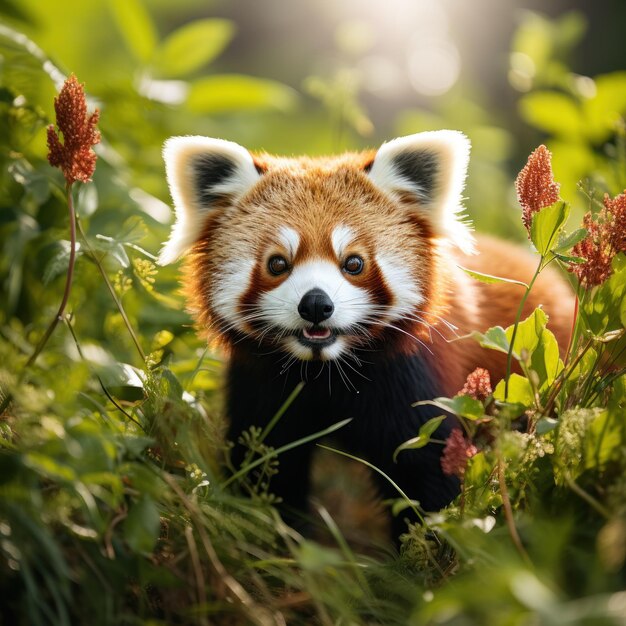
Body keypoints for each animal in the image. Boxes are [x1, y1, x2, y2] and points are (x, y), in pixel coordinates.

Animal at [158, 129, 572, 532]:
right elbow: (267, 471)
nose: (316, 305)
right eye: (277, 263)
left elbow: (428, 479)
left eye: (353, 263)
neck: (325, 372)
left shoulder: (413, 382)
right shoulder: (262, 387)